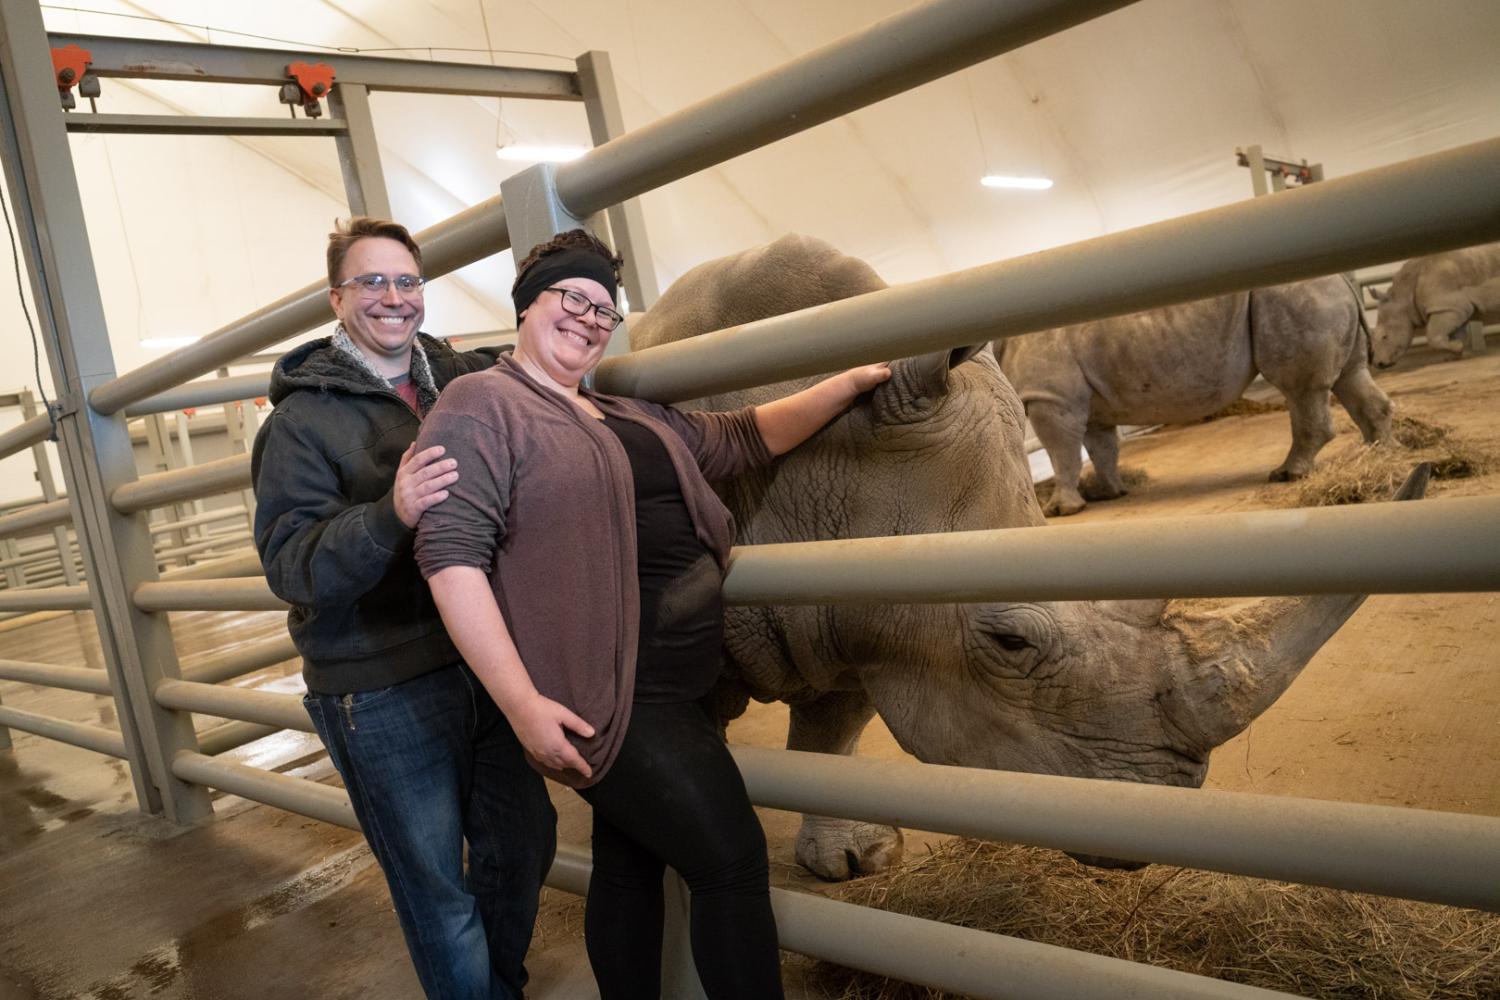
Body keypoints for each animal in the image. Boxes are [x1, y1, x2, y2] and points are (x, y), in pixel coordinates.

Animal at [996, 277, 1392, 521]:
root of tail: (1341, 279)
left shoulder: (1051, 397)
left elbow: (1061, 453)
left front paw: (1062, 509)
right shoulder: (1087, 403)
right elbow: (1101, 447)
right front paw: (1107, 493)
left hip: (1292, 298)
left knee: (1301, 390)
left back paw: (1287, 474)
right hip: (1318, 299)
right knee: (1350, 376)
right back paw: (1377, 452)